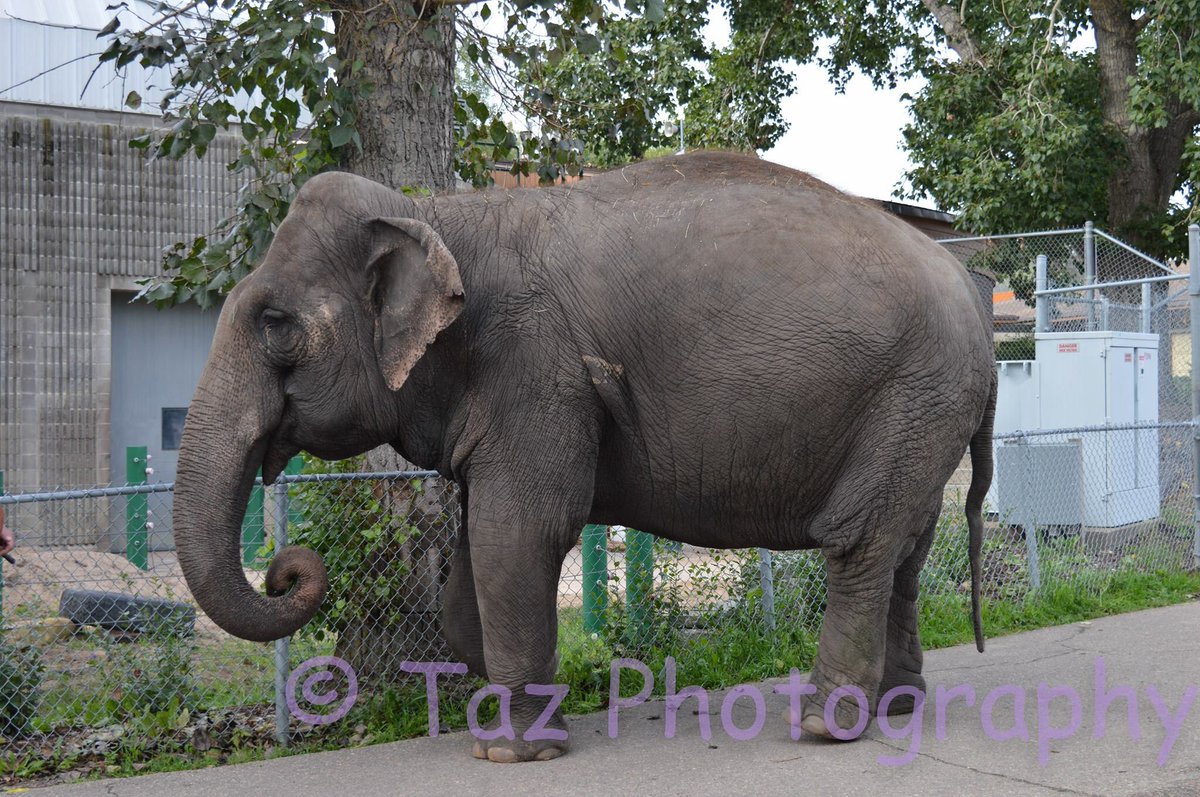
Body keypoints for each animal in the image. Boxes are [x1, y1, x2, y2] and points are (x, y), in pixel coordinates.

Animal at [173, 150, 996, 762]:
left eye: (276, 325)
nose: (287, 569)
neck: (437, 213)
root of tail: (972, 292)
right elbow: (475, 559)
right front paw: (507, 701)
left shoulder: (536, 368)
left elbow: (518, 533)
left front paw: (509, 750)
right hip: (923, 410)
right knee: (910, 547)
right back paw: (894, 707)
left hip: (914, 393)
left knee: (862, 542)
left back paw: (826, 724)